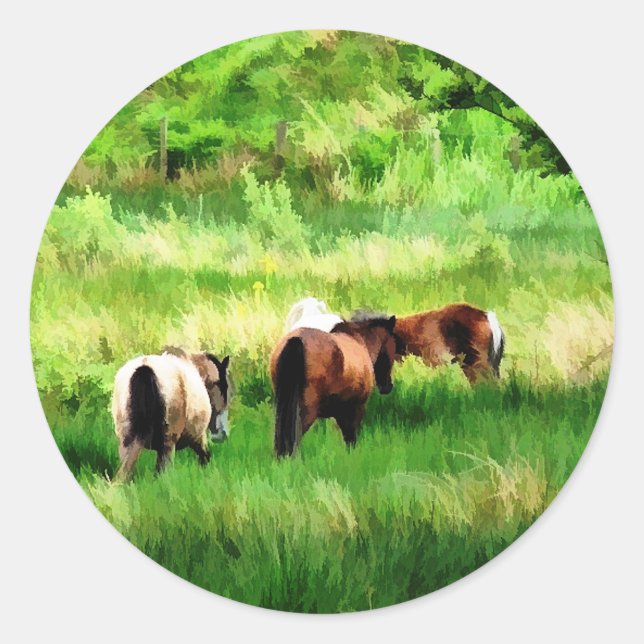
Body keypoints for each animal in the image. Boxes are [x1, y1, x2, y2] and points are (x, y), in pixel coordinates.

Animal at [111, 349, 231, 479]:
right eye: (223, 386)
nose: (222, 434)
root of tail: (145, 366)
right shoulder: (198, 438)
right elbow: (205, 458)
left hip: (126, 441)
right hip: (168, 444)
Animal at [270, 313, 397, 456]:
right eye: (393, 346)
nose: (388, 386)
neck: (360, 342)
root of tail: (296, 340)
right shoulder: (355, 410)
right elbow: (351, 439)